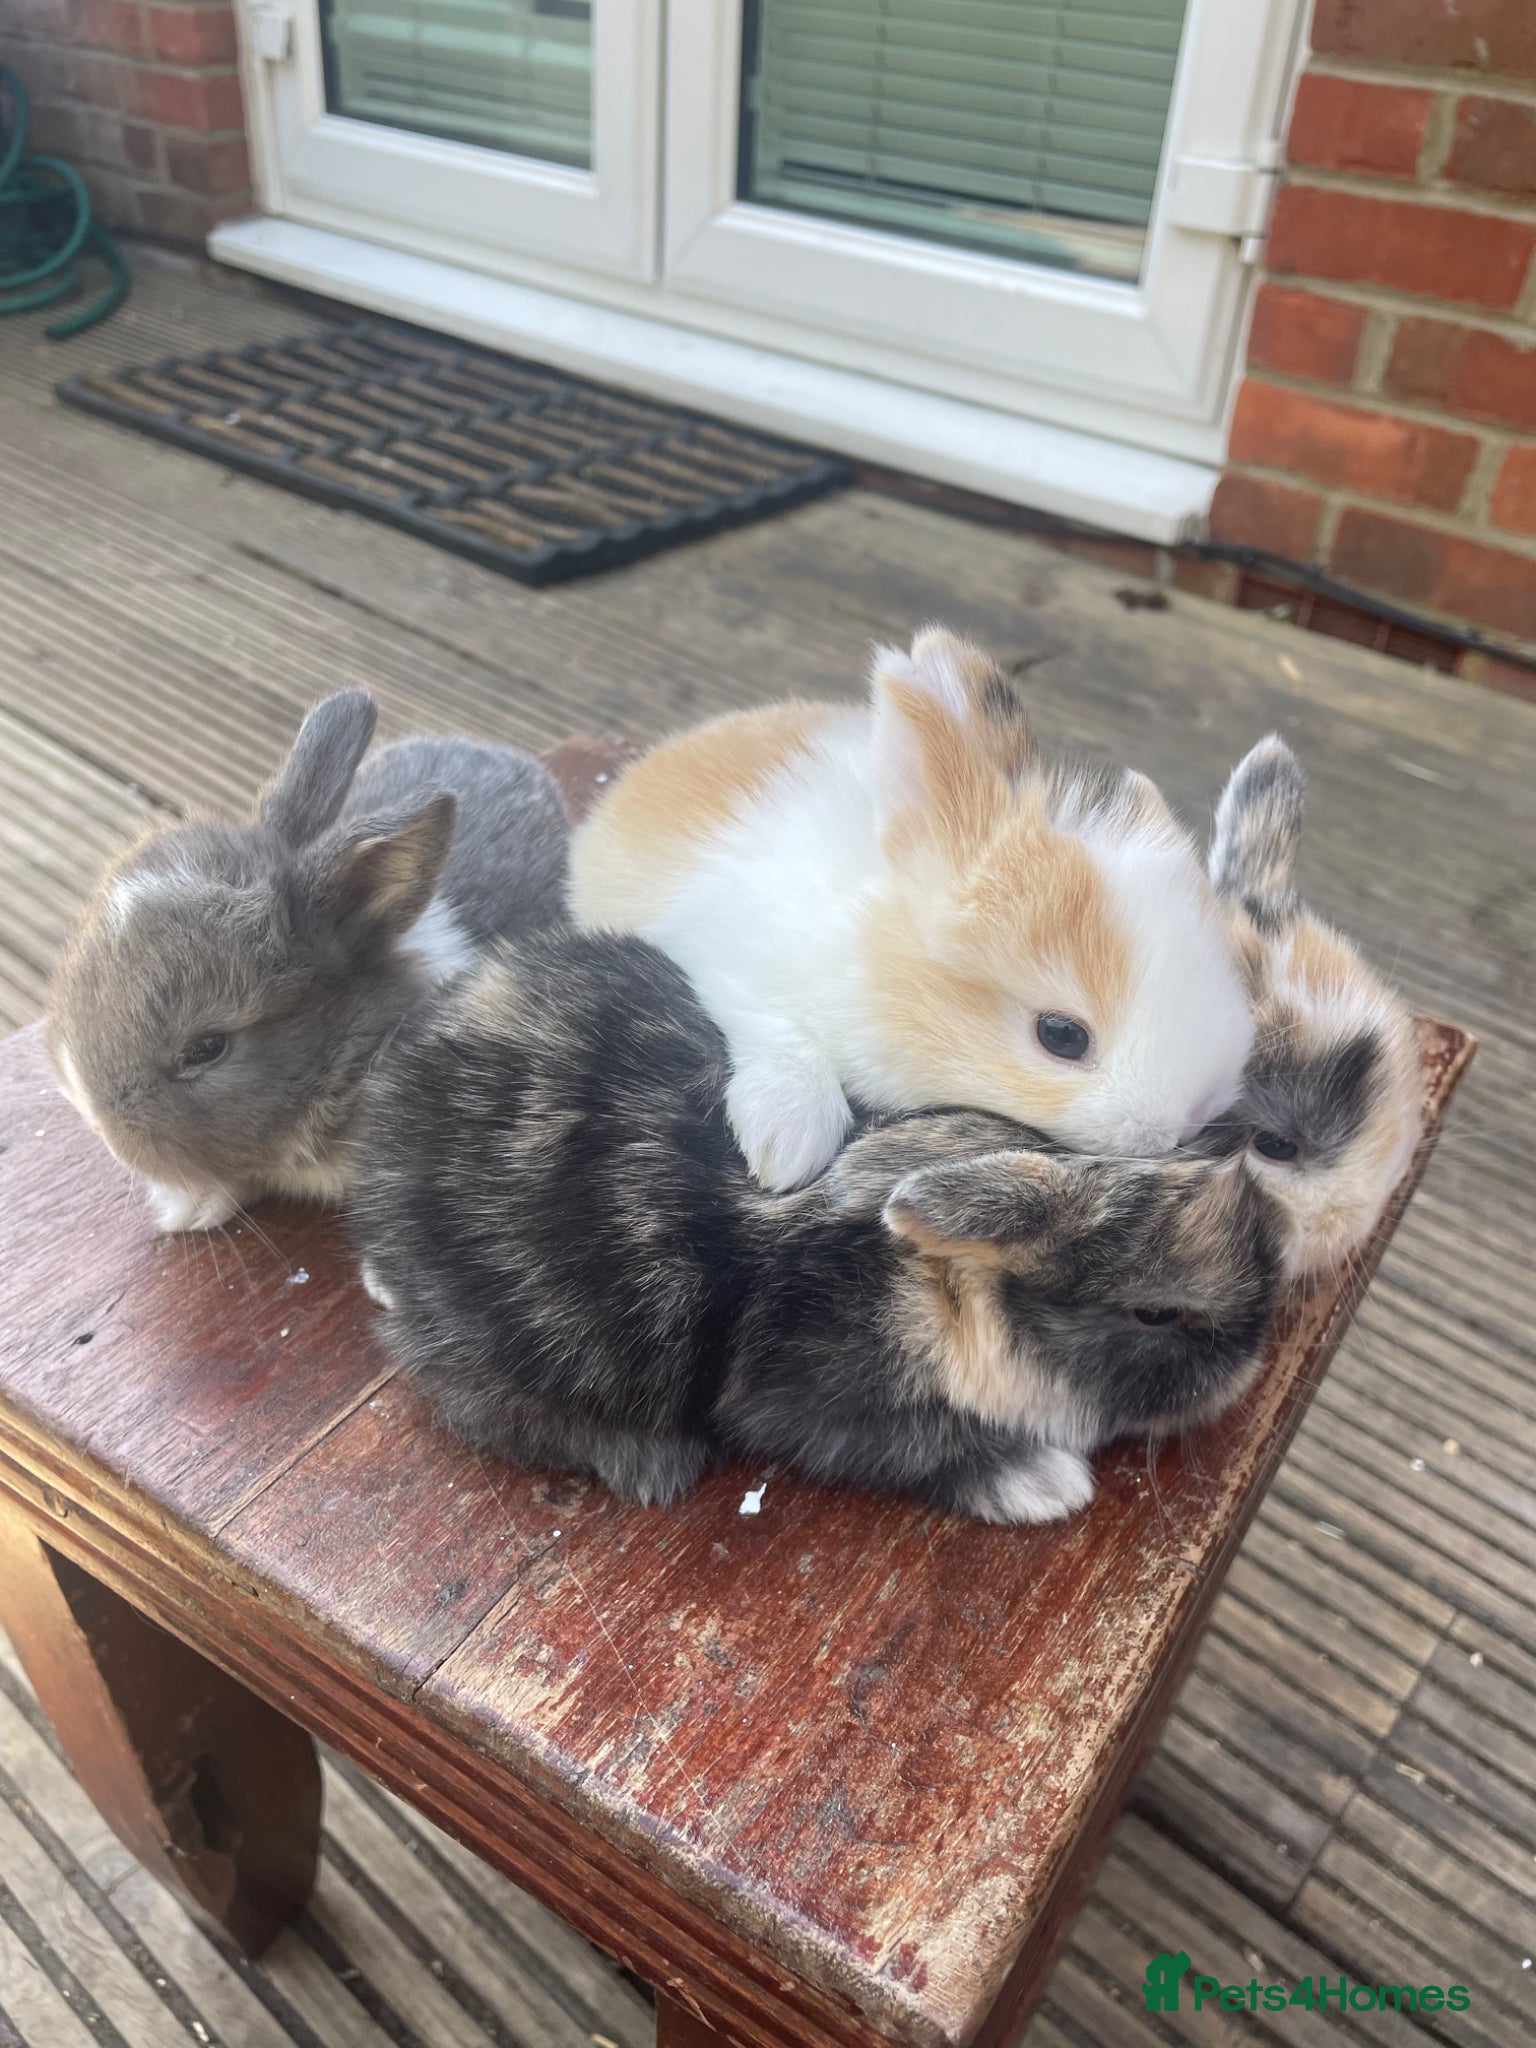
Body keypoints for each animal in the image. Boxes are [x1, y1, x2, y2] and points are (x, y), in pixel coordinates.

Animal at [350, 925, 1282, 1523]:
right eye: (1153, 1312)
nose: (1246, 1373)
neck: (930, 1291)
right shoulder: (811, 1405)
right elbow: (919, 1448)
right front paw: (1045, 1485)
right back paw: (651, 1464)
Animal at [568, 626, 1254, 1193]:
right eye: (1061, 1036)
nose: (1185, 1122)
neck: (878, 954)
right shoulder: (735, 966)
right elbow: (782, 1038)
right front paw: (786, 1150)